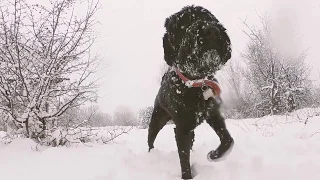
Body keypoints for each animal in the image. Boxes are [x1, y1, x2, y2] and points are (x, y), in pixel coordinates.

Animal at [149, 4, 234, 179]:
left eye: (210, 18)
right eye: (183, 24)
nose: (211, 30)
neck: (195, 83)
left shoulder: (213, 113)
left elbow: (228, 140)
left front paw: (214, 155)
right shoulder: (181, 129)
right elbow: (184, 160)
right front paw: (188, 174)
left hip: (191, 130)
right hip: (157, 120)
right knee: (150, 140)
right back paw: (151, 155)